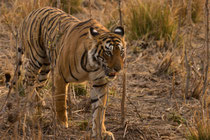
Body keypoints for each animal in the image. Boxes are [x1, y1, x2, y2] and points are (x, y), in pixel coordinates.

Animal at [16, 6, 125, 139]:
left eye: (121, 52)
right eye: (108, 52)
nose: (118, 68)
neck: (93, 65)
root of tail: (30, 14)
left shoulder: (100, 83)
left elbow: (99, 110)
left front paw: (101, 132)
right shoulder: (60, 77)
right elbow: (60, 102)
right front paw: (62, 124)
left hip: (45, 69)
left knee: (38, 87)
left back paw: (38, 109)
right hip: (35, 60)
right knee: (28, 83)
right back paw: (30, 112)